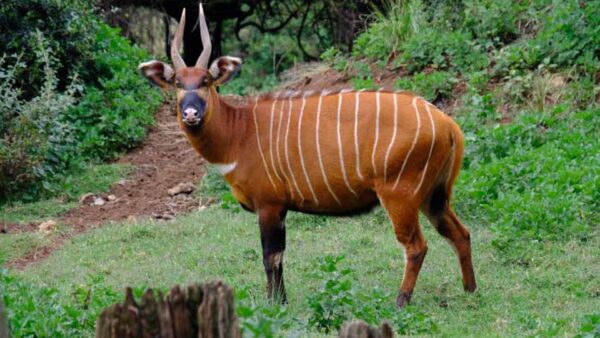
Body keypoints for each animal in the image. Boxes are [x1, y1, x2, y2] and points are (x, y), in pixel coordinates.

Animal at [138, 2, 476, 308]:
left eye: (206, 81)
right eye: (178, 83)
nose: (191, 113)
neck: (239, 132)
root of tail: (449, 125)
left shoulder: (269, 205)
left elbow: (271, 256)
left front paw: (275, 305)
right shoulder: (280, 209)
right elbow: (279, 256)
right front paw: (282, 301)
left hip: (400, 195)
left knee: (416, 246)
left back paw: (401, 301)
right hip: (433, 195)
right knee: (461, 233)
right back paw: (470, 290)